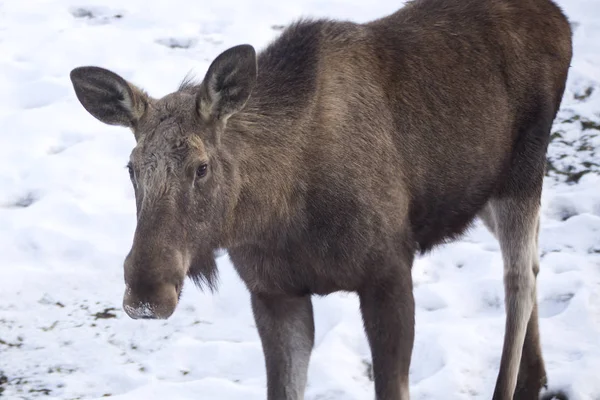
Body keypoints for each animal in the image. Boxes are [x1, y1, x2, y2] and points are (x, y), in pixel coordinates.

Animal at [70, 0, 572, 398]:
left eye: (201, 166)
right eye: (132, 168)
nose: (145, 291)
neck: (276, 213)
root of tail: (560, 19)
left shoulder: (389, 271)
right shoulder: (274, 292)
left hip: (523, 170)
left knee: (519, 278)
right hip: (483, 191)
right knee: (533, 262)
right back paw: (536, 377)